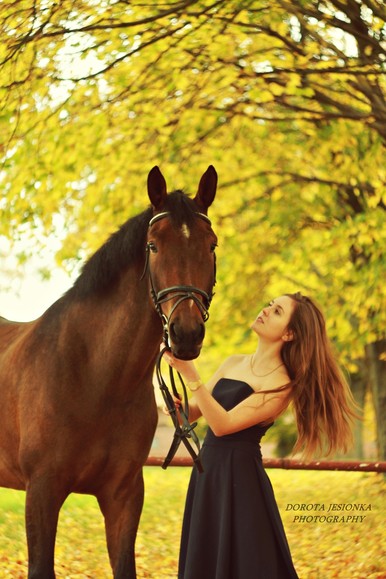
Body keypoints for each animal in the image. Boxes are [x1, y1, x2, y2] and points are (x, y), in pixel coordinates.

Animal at [0, 165, 217, 576]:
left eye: (211, 245)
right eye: (153, 246)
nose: (186, 333)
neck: (95, 379)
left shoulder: (124, 495)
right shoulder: (41, 492)